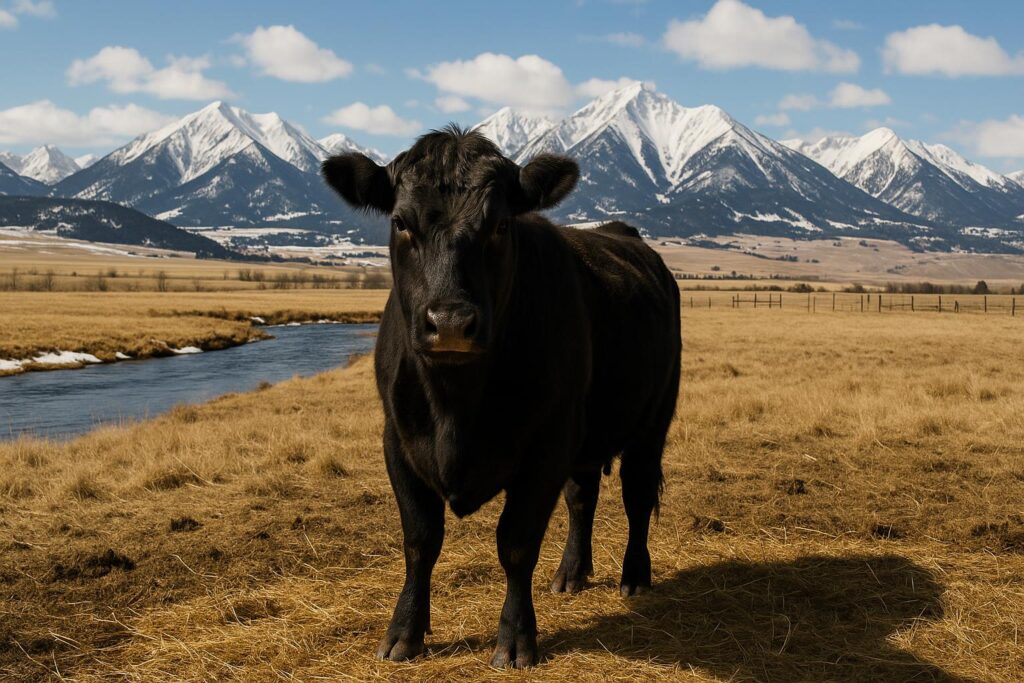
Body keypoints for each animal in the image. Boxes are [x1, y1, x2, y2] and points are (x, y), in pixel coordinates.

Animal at [322, 126, 681, 669]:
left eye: (501, 225)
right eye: (401, 222)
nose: (450, 322)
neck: (455, 406)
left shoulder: (546, 445)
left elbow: (516, 543)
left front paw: (515, 639)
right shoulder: (398, 441)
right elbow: (420, 541)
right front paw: (404, 632)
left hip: (651, 421)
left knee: (636, 495)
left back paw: (634, 576)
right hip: (586, 433)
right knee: (582, 497)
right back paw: (572, 572)